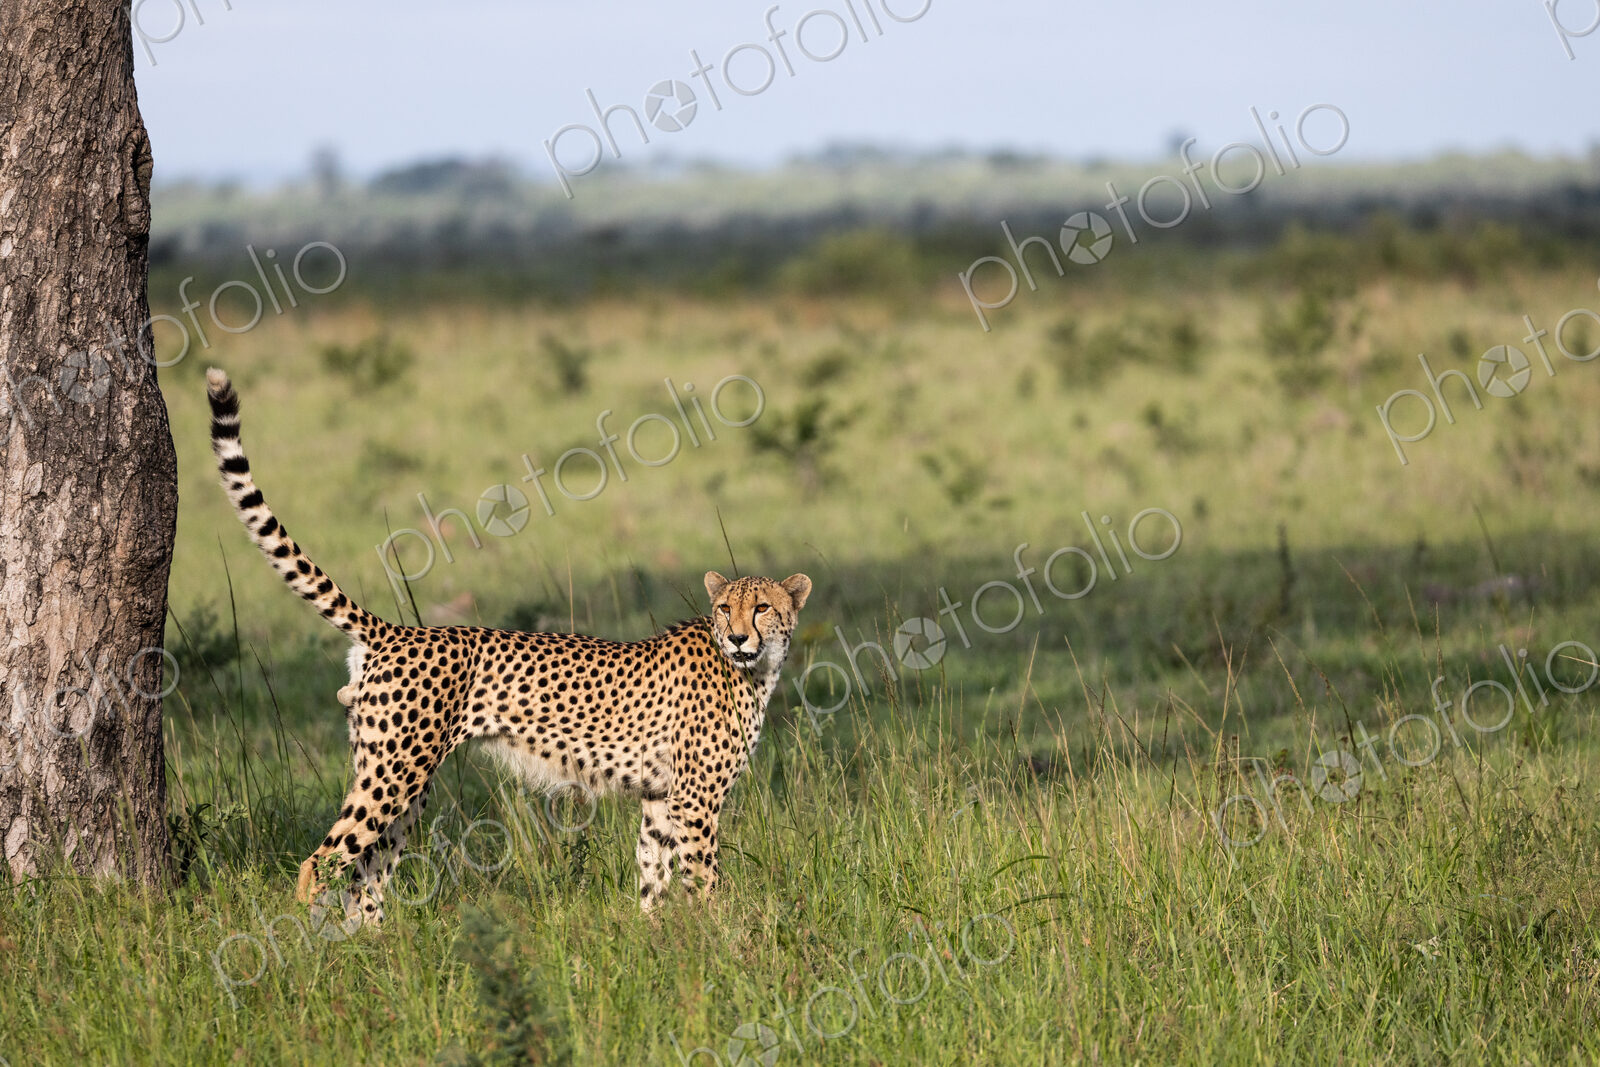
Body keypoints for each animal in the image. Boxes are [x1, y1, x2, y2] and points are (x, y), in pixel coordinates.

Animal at [204, 368, 811, 924]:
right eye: (725, 608)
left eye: (761, 607)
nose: (738, 636)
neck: (754, 669)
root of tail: (399, 631)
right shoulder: (694, 800)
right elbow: (704, 879)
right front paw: (717, 938)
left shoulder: (661, 798)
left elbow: (652, 875)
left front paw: (656, 938)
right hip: (396, 771)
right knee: (324, 862)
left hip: (397, 777)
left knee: (366, 871)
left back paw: (377, 947)